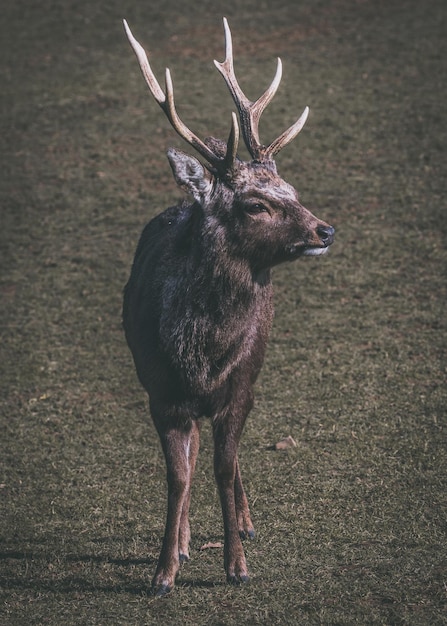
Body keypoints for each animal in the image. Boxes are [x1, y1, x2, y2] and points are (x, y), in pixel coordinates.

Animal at [122, 18, 336, 596]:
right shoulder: (160, 393)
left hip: (253, 374)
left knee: (230, 456)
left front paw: (237, 565)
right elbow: (179, 474)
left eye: (292, 189)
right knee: (196, 452)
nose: (325, 230)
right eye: (256, 204)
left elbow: (223, 466)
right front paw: (163, 570)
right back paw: (186, 539)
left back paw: (243, 522)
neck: (199, 355)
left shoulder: (238, 386)